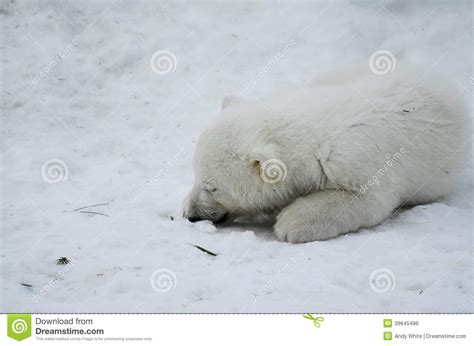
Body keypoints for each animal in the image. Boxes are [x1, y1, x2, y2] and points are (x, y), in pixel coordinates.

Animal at [183, 65, 468, 243]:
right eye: (195, 175)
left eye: (212, 188)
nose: (192, 216)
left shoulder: (360, 161)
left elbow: (368, 201)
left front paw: (291, 223)